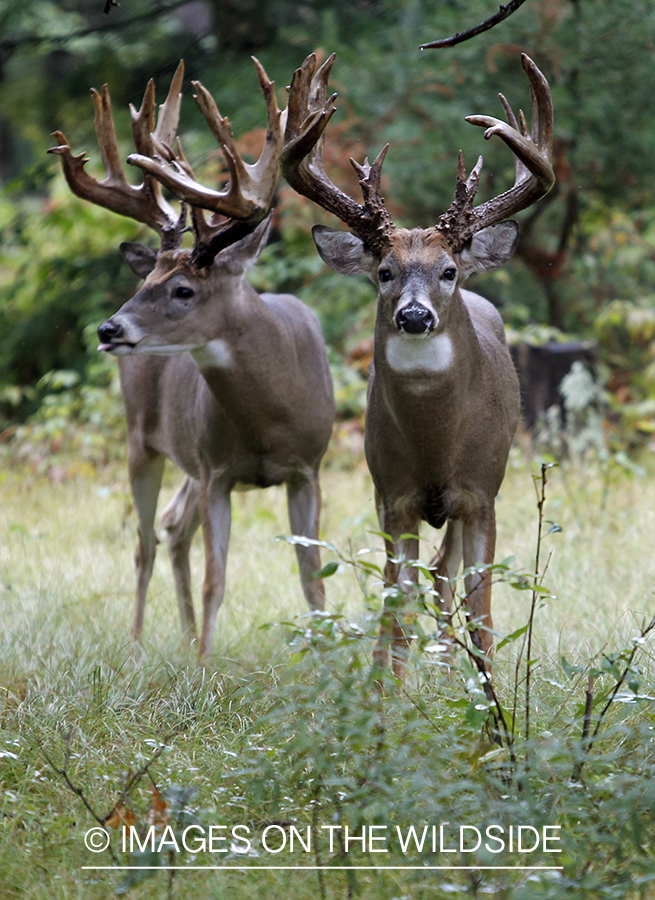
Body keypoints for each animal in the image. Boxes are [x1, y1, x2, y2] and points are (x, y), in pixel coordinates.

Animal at [50, 59, 336, 656]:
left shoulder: (308, 469)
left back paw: (180, 639)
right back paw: (139, 642)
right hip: (143, 440)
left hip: (187, 462)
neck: (269, 418)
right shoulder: (216, 472)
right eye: (148, 281)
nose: (109, 328)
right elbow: (216, 579)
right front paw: (205, 664)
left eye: (183, 289)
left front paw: (330, 660)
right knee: (146, 541)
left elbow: (312, 577)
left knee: (173, 525)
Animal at [284, 52, 556, 680]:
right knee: (427, 578)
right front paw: (387, 694)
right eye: (384, 271)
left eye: (448, 270)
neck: (435, 440)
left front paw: (490, 700)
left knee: (445, 574)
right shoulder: (392, 494)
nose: (413, 314)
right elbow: (394, 607)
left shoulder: (482, 493)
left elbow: (482, 609)